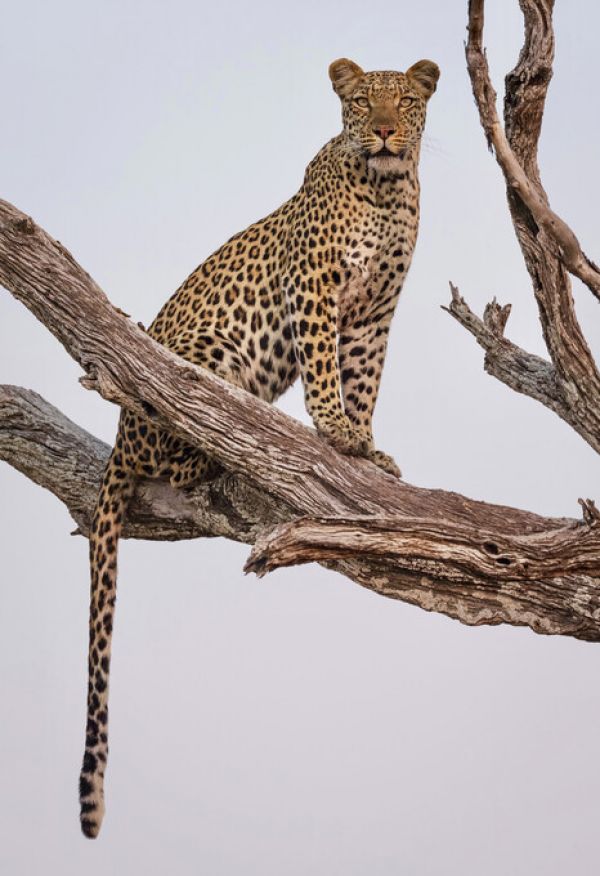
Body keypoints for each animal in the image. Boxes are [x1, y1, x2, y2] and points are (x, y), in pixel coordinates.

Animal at [79, 56, 440, 838]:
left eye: (406, 100)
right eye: (362, 102)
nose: (384, 131)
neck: (388, 191)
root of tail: (118, 443)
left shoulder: (374, 313)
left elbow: (364, 379)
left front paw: (366, 448)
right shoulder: (315, 286)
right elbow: (326, 370)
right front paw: (335, 432)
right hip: (202, 358)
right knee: (181, 431)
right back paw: (218, 445)